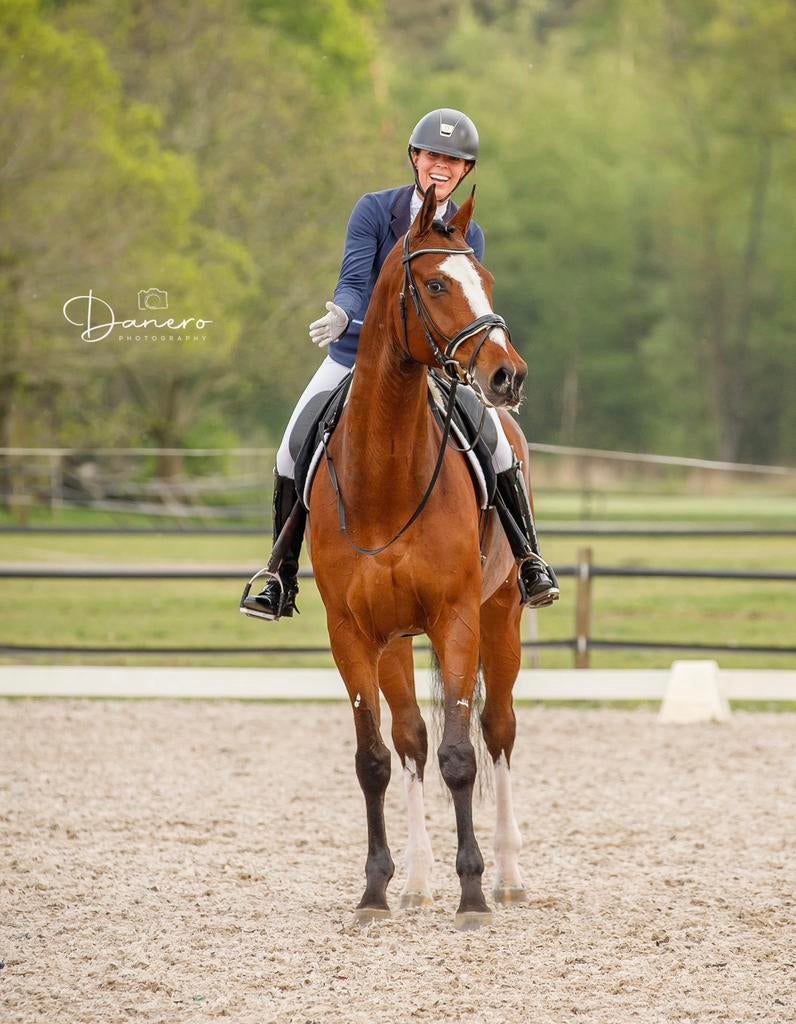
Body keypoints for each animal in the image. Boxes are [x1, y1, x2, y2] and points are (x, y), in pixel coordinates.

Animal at [307, 184, 531, 930]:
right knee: (409, 741)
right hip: (395, 640)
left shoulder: (456, 618)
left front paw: (473, 894)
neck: (385, 475)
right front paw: (376, 891)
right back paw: (414, 884)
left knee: (498, 731)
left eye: (484, 277)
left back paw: (508, 877)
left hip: (502, 614)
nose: (507, 375)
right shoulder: (351, 633)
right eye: (434, 284)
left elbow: (461, 756)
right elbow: (375, 758)